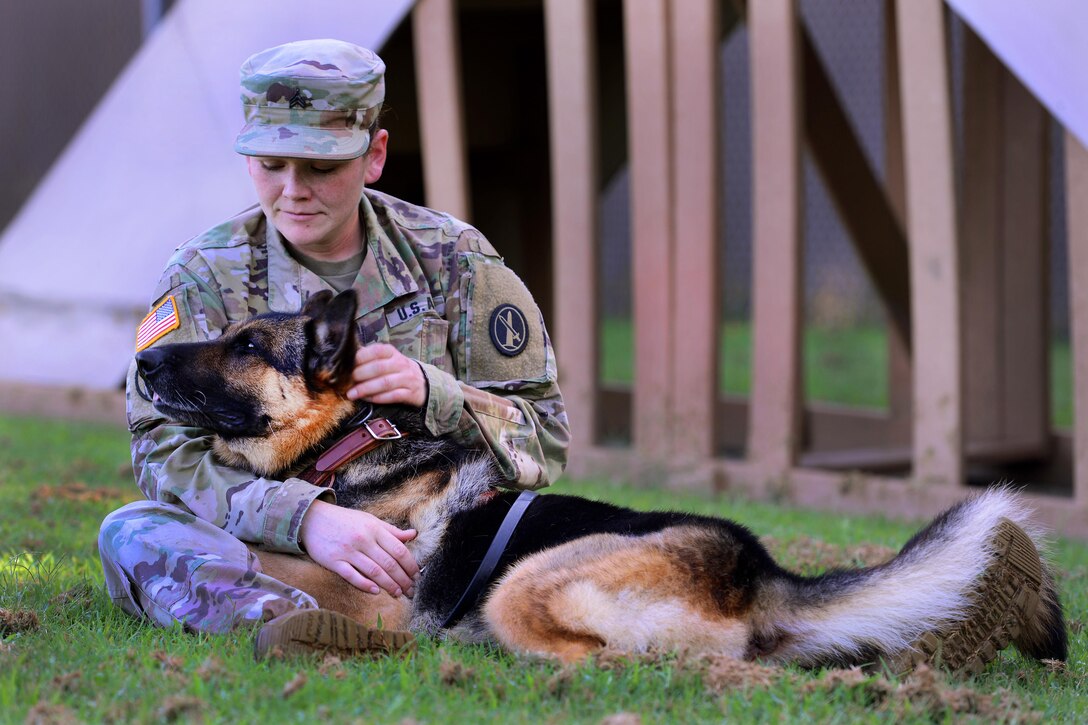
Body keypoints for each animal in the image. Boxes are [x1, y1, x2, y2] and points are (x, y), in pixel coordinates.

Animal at [131, 291, 1066, 670]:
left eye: (249, 345)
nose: (143, 360)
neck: (350, 442)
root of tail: (759, 573)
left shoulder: (370, 586)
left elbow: (268, 554)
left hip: (525, 580)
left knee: (612, 664)